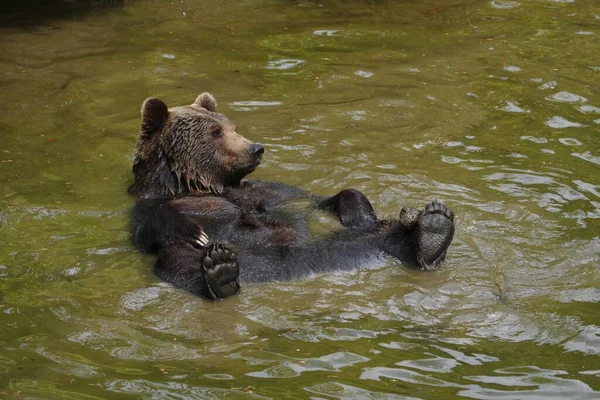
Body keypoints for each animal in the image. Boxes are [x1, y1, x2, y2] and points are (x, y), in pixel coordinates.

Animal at [127, 93, 454, 300]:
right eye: (216, 132)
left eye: (233, 126)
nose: (255, 148)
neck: (203, 184)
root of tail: (298, 266)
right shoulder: (150, 205)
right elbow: (152, 228)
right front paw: (194, 231)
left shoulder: (272, 191)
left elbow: (321, 197)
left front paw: (358, 213)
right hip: (219, 259)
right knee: (180, 263)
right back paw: (221, 275)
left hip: (355, 240)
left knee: (387, 233)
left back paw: (431, 231)